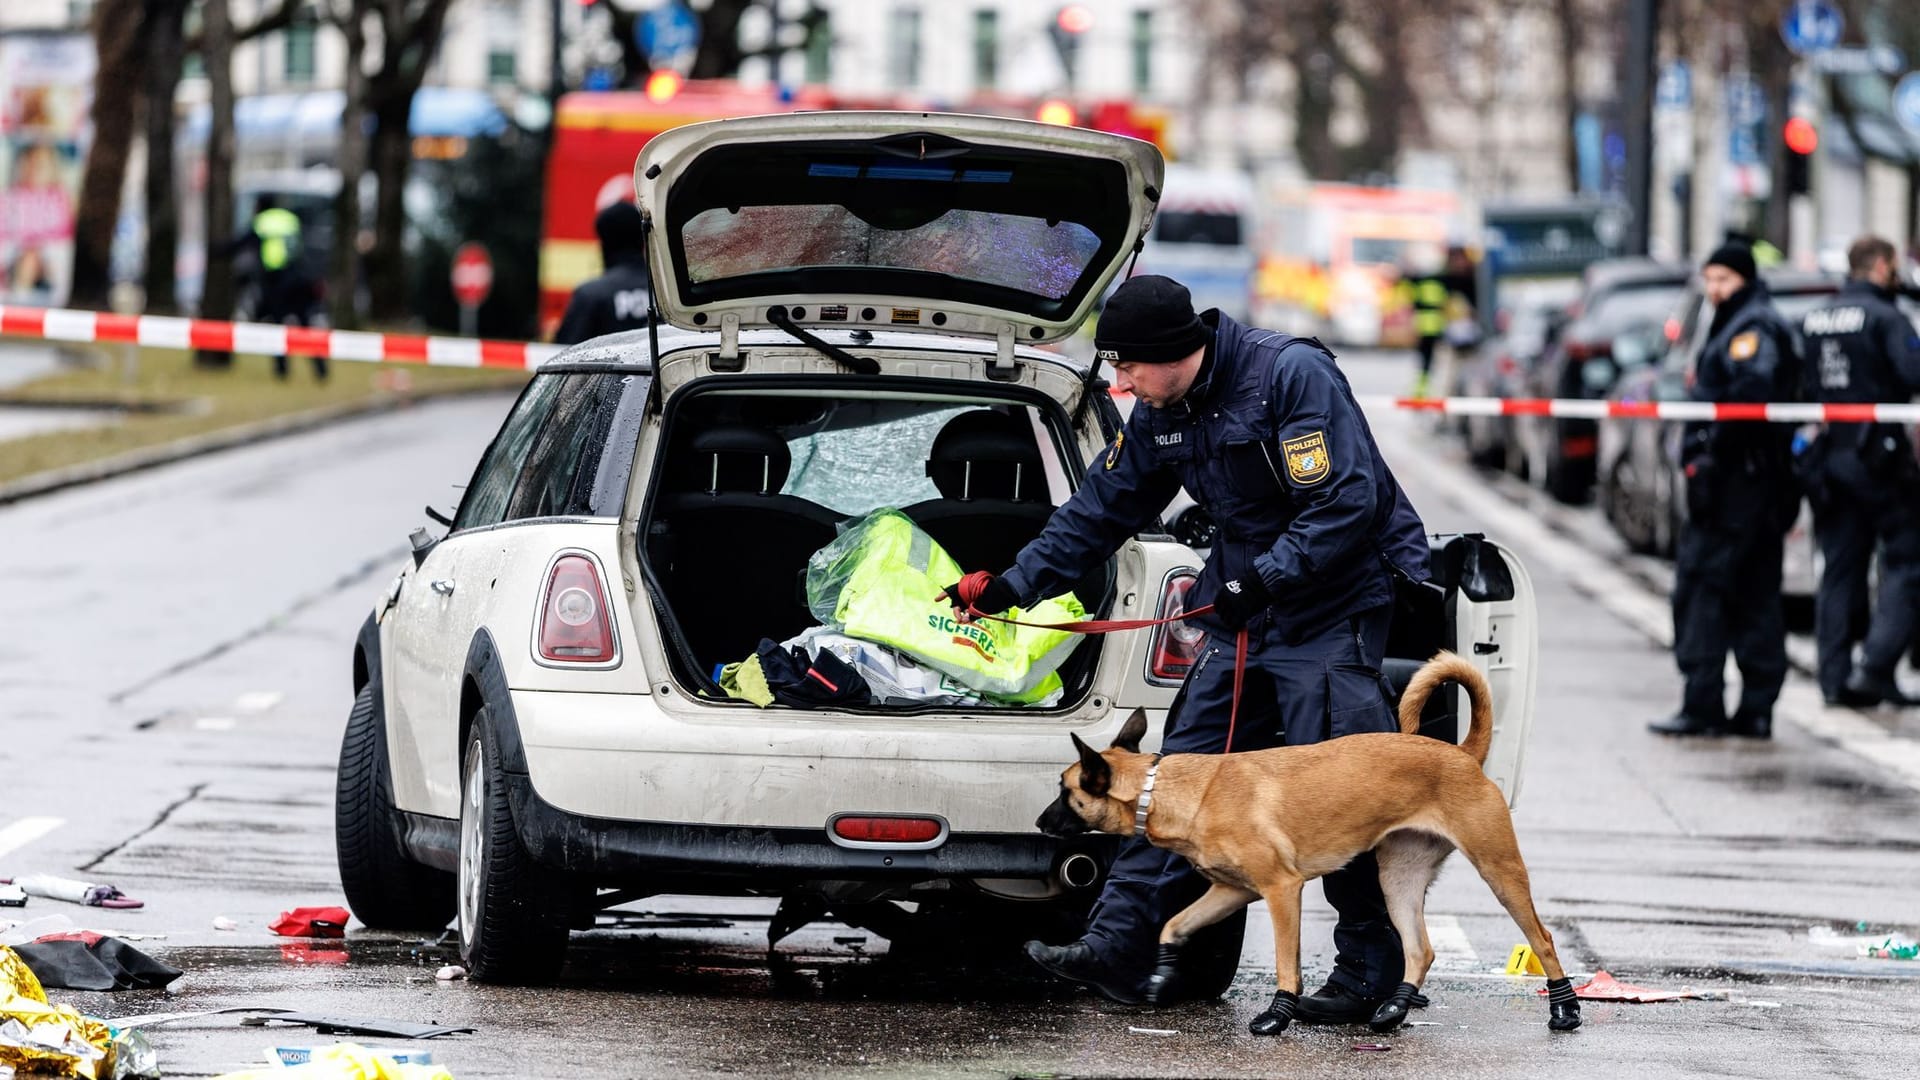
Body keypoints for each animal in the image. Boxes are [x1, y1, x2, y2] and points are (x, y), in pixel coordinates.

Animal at [1044, 645, 1582, 1037]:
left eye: (1066, 792)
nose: (1041, 822)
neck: (1170, 790)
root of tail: (1463, 754)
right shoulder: (1230, 891)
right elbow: (1172, 926)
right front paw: (1161, 974)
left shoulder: (1282, 891)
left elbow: (1287, 962)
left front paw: (1278, 1014)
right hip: (1398, 879)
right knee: (1420, 950)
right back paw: (1393, 1010)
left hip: (1499, 870)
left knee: (1544, 937)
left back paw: (1565, 1010)